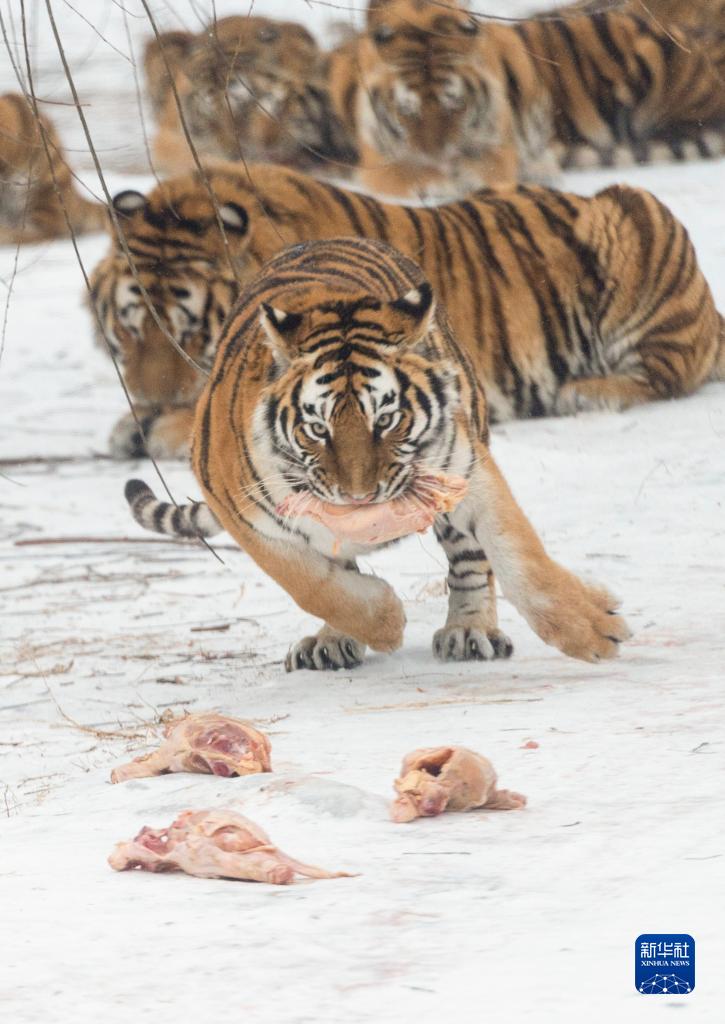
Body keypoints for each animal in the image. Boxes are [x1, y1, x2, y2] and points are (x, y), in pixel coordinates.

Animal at [89, 160, 724, 460]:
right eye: (130, 326)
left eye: (191, 333)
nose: (148, 401)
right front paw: (136, 420)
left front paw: (161, 426)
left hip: (633, 215)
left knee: (665, 374)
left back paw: (587, 392)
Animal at [121, 236, 630, 675]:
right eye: (318, 429)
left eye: (385, 420)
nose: (359, 497)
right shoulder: (240, 510)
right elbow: (311, 583)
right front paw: (384, 621)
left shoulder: (466, 469)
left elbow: (521, 557)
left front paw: (593, 630)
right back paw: (331, 641)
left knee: (469, 561)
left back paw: (469, 631)